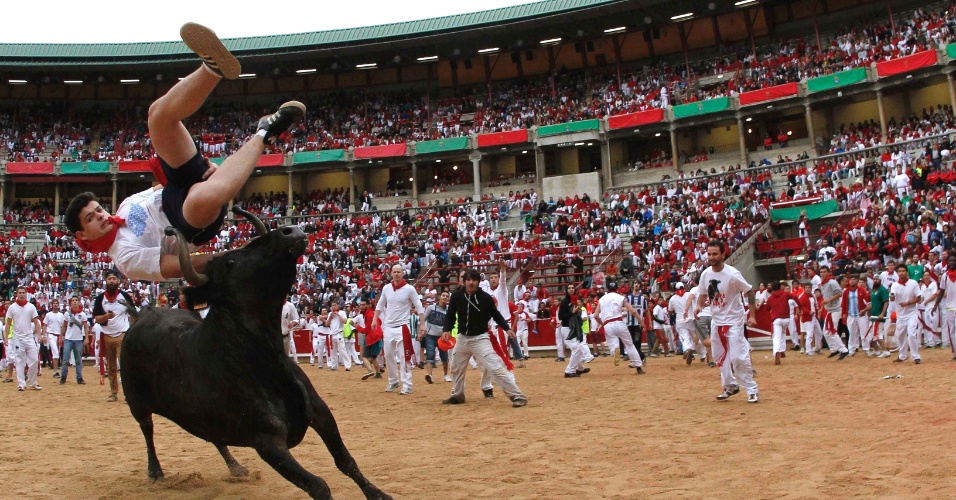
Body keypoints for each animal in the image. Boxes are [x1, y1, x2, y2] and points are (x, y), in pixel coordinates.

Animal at [121, 209, 390, 498]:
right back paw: (156, 472)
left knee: (214, 437)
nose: (290, 231)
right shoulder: (267, 441)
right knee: (147, 430)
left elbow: (345, 460)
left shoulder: (320, 411)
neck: (268, 361)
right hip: (137, 402)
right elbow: (319, 485)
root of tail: (141, 314)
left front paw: (380, 494)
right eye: (230, 262)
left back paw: (236, 468)